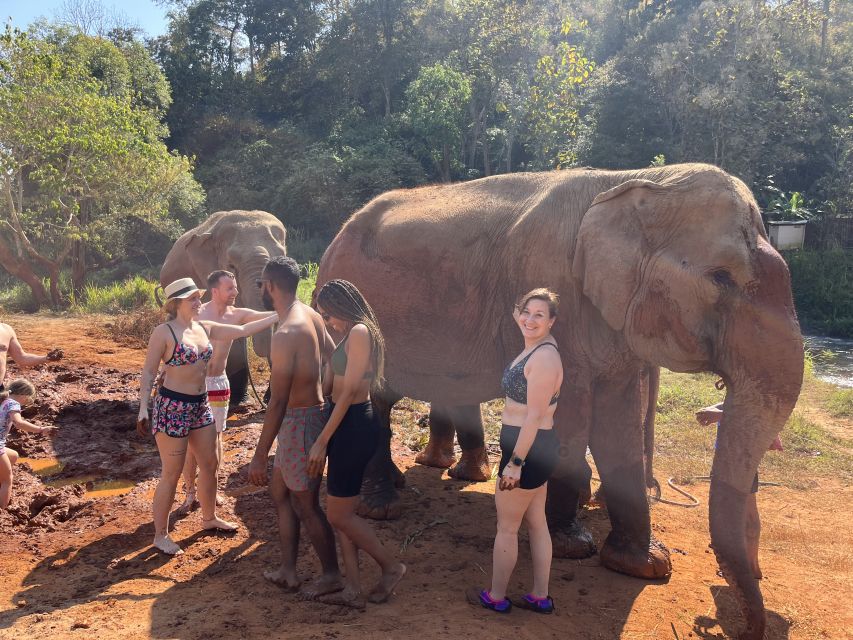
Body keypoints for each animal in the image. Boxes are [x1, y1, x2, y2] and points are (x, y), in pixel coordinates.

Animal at [316, 163, 803, 640]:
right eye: (720, 278)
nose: (728, 629)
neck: (631, 184)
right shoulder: (560, 298)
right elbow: (570, 419)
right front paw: (572, 546)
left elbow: (618, 429)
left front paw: (644, 565)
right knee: (375, 399)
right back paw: (380, 507)